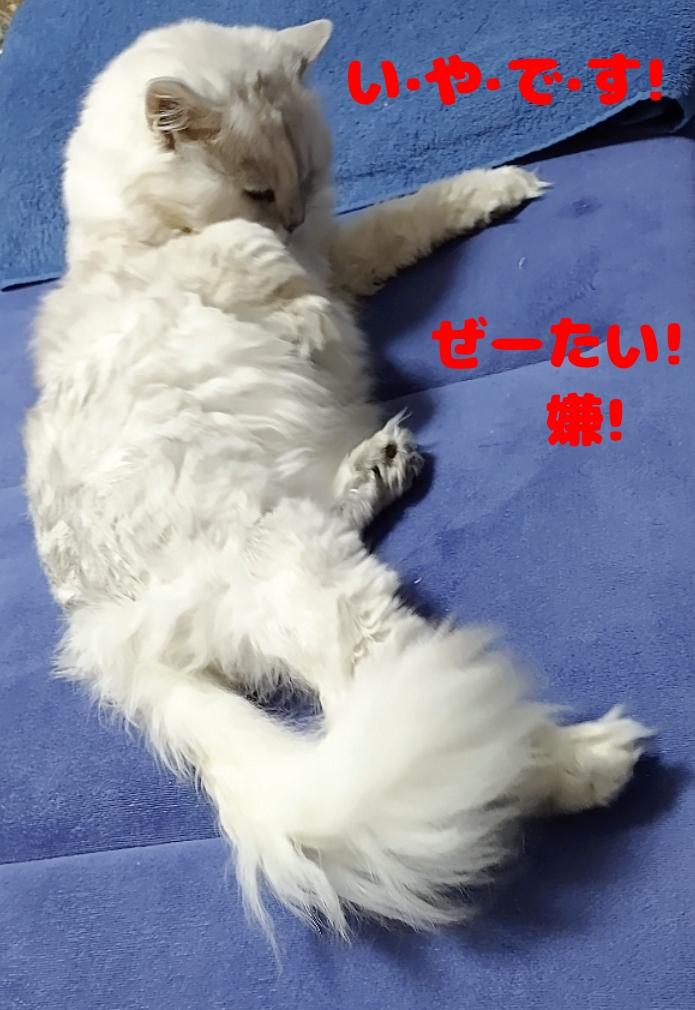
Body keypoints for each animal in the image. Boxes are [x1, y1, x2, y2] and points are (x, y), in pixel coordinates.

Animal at [24, 18, 650, 936]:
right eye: (255, 189)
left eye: (310, 176)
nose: (288, 219)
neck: (127, 233)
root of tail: (103, 640)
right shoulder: (246, 262)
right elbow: (258, 268)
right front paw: (298, 302)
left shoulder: (340, 251)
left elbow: (405, 215)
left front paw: (502, 186)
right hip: (315, 583)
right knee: (421, 730)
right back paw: (590, 759)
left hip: (303, 535)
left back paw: (380, 465)